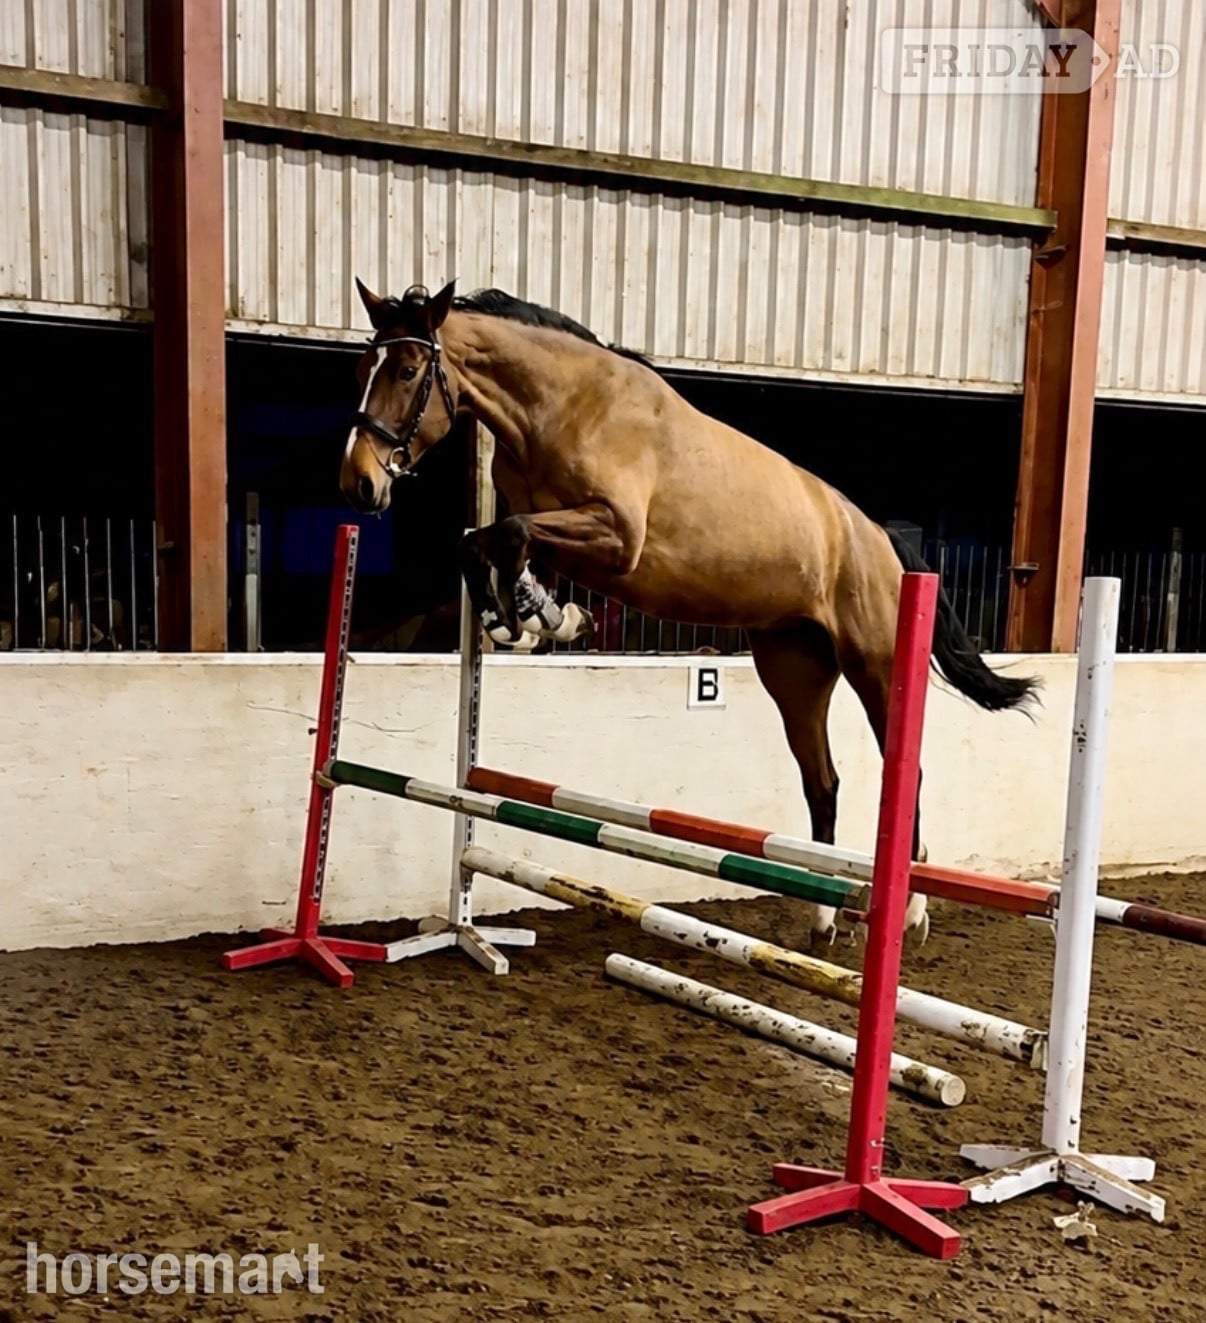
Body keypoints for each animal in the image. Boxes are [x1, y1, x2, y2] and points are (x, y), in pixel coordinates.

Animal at [339, 279, 1040, 948]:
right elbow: (483, 543)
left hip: (877, 668)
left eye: (407, 371)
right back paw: (821, 921)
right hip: (795, 669)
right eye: (364, 367)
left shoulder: (616, 537)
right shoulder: (555, 533)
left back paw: (912, 913)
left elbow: (508, 536)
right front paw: (532, 618)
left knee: (907, 773)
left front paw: (531, 620)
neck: (559, 407)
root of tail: (884, 542)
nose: (359, 484)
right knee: (823, 782)